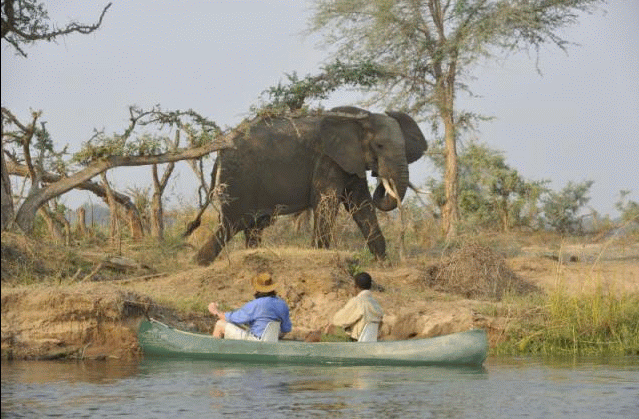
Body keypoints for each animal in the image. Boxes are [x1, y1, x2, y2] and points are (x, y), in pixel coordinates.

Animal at [192, 107, 428, 266]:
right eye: (379, 146)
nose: (380, 175)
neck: (361, 119)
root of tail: (220, 150)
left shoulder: (351, 162)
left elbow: (361, 204)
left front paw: (384, 264)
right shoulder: (328, 158)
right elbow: (327, 200)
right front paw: (320, 255)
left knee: (253, 226)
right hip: (238, 179)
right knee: (231, 224)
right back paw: (199, 263)